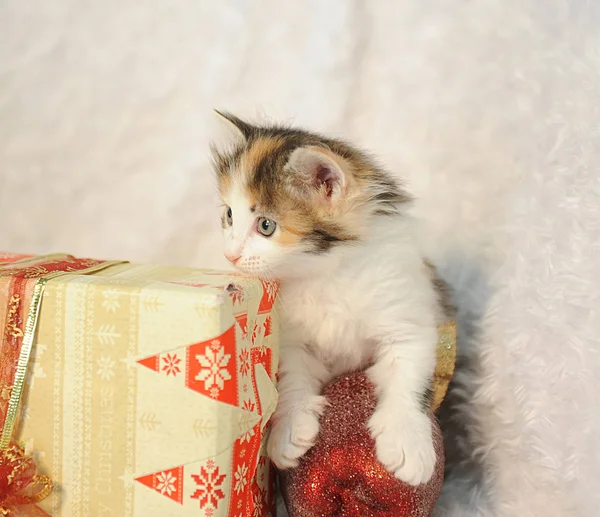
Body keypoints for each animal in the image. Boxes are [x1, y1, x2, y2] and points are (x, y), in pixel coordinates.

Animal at [212, 111, 446, 486]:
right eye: (229, 215)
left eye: (266, 226)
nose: (230, 255)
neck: (324, 274)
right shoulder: (292, 339)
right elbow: (291, 378)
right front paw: (290, 428)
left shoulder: (407, 312)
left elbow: (409, 375)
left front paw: (406, 439)